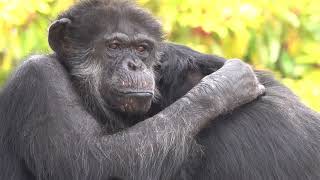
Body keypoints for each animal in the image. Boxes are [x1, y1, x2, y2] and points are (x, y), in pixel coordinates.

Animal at [0, 0, 264, 180]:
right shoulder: (39, 81)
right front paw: (225, 85)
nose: (135, 65)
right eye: (114, 46)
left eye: (141, 48)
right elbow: (90, 163)